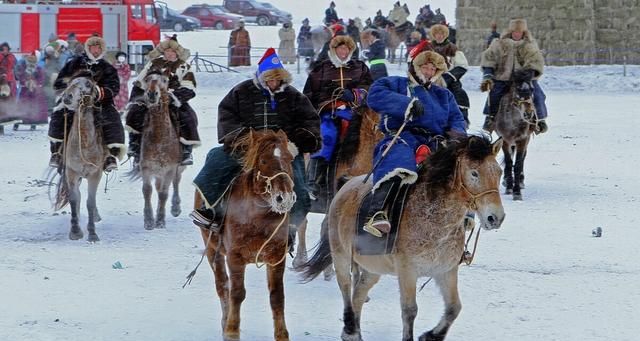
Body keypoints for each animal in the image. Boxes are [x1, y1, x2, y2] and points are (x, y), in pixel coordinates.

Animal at [127, 71, 186, 228]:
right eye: (147, 79)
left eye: (165, 80)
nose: (152, 93)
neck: (159, 139)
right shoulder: (146, 167)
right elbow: (147, 191)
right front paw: (149, 220)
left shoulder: (170, 169)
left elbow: (164, 193)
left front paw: (160, 221)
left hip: (178, 168)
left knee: (176, 182)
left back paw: (175, 207)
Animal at [195, 128, 298, 340]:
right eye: (264, 161)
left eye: (290, 158)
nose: (284, 197)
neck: (257, 217)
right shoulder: (235, 257)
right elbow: (237, 293)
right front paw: (231, 330)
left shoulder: (276, 257)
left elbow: (277, 296)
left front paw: (282, 334)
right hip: (212, 250)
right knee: (222, 286)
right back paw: (225, 321)